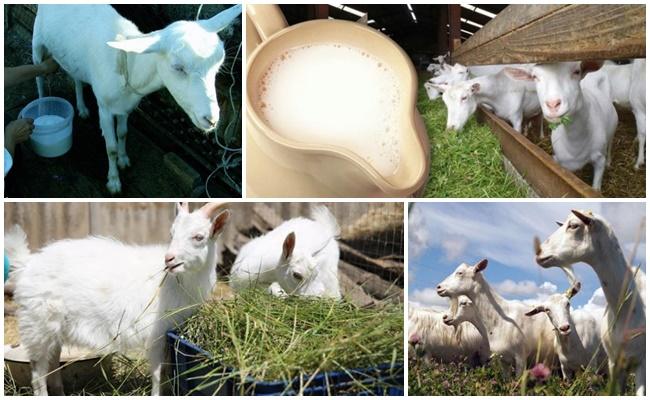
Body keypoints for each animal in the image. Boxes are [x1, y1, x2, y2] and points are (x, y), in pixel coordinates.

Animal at [9, 202, 230, 395]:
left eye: (199, 237)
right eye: (172, 233)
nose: (169, 259)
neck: (178, 282)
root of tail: (27, 264)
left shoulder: (168, 333)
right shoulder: (155, 333)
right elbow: (158, 373)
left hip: (53, 328)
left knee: (53, 359)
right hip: (38, 324)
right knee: (38, 370)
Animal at [32, 5, 242, 193]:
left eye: (218, 64)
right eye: (178, 67)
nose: (212, 119)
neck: (129, 65)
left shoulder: (126, 106)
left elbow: (123, 133)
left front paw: (124, 160)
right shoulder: (105, 108)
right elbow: (110, 147)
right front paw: (114, 181)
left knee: (75, 76)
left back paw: (82, 108)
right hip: (37, 41)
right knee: (39, 77)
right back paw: (42, 109)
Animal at [505, 62, 618, 190]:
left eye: (577, 71)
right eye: (534, 77)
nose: (552, 104)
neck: (575, 142)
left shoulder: (599, 160)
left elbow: (596, 188)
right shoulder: (559, 161)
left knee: (610, 145)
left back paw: (609, 162)